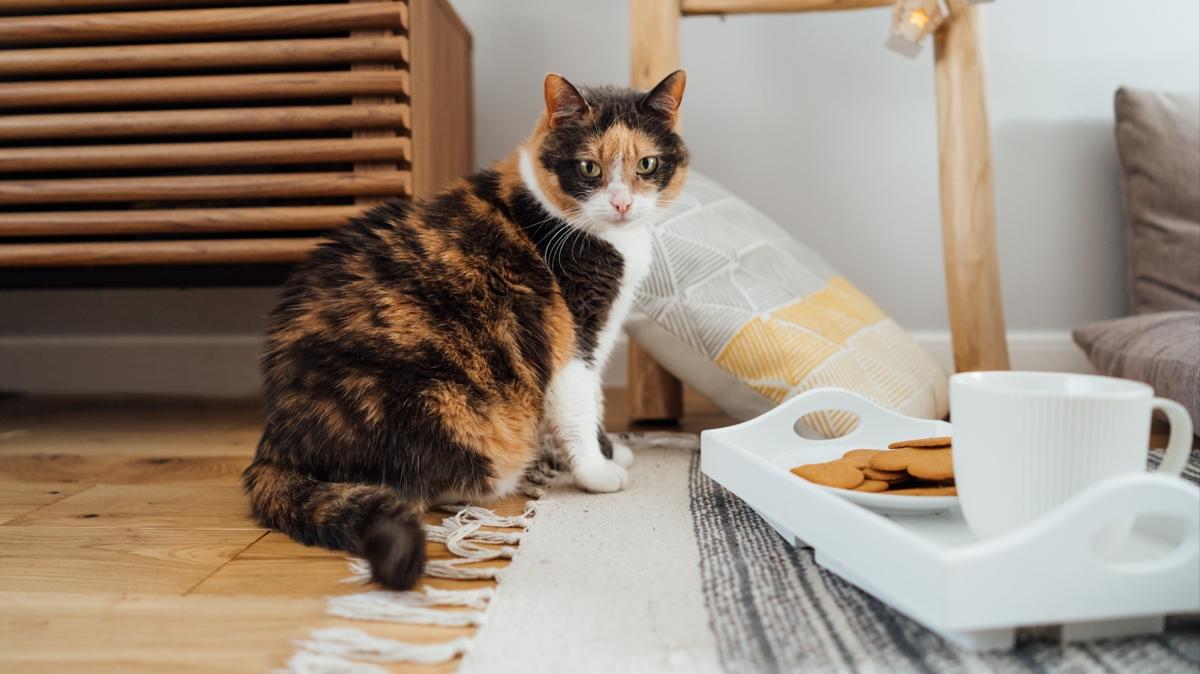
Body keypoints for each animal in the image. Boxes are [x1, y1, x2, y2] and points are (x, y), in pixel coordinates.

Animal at [242, 70, 691, 587]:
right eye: (589, 168)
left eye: (647, 163)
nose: (621, 203)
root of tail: (277, 444)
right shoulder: (573, 334)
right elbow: (582, 404)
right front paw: (598, 470)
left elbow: (593, 402)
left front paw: (609, 451)